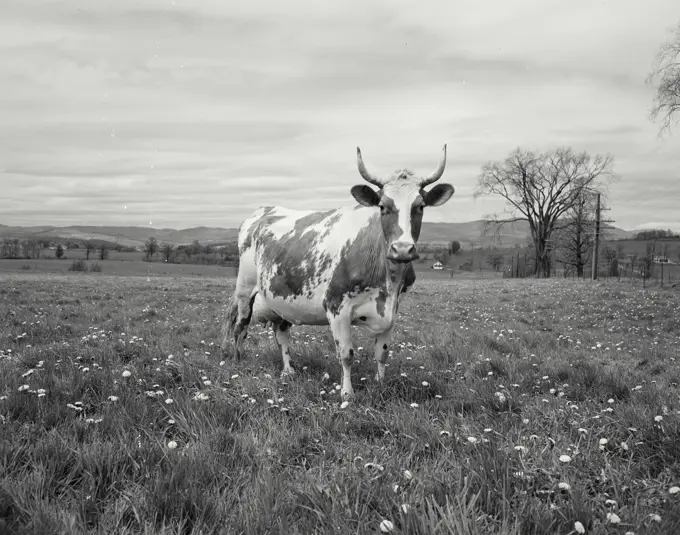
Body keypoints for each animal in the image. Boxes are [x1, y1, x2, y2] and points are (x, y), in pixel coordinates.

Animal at [224, 144, 456, 400]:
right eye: (382, 207)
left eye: (420, 206)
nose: (402, 248)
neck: (388, 280)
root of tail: (263, 210)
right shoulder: (337, 307)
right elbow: (346, 354)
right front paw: (347, 394)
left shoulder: (393, 310)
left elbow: (382, 352)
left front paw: (380, 384)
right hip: (245, 289)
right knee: (240, 327)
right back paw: (238, 363)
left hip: (283, 299)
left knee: (281, 333)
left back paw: (288, 371)